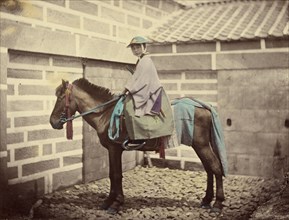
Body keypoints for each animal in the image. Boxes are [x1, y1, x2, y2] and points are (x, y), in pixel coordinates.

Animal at [49, 78, 225, 214]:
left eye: (61, 97)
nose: (52, 122)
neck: (106, 114)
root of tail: (204, 106)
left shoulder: (114, 149)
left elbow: (116, 175)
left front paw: (116, 203)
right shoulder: (113, 150)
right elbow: (112, 174)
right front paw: (108, 201)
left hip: (201, 146)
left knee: (215, 168)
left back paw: (217, 204)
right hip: (200, 146)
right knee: (209, 170)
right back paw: (206, 200)